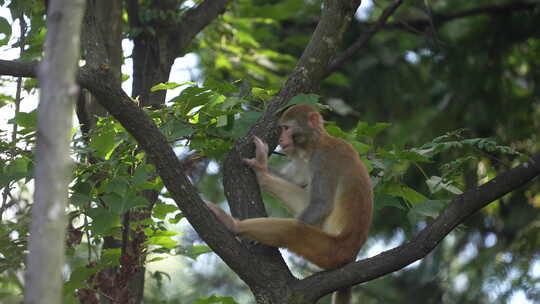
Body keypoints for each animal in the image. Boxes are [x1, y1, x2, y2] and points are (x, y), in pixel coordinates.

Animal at [209, 104, 374, 304]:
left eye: (287, 128)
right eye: (282, 129)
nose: (281, 139)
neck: (316, 143)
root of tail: (352, 254)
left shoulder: (322, 159)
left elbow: (321, 204)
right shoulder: (305, 161)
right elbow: (297, 186)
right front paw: (262, 168)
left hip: (332, 251)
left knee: (293, 229)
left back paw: (234, 225)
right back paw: (262, 176)